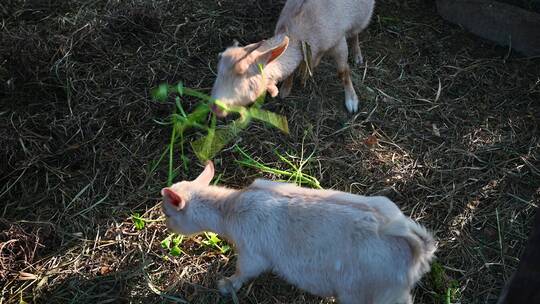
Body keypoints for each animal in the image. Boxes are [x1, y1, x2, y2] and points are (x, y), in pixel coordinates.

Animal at [160, 160, 434, 302]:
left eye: (168, 214)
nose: (166, 227)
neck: (230, 208)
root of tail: (418, 254)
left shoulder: (253, 252)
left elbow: (244, 272)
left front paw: (227, 284)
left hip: (369, 293)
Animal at [211, 0, 376, 114]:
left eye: (250, 85)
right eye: (218, 74)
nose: (215, 107)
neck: (297, 36)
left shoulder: (338, 43)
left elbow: (343, 73)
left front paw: (351, 99)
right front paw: (286, 88)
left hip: (361, 15)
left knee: (355, 32)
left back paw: (357, 54)